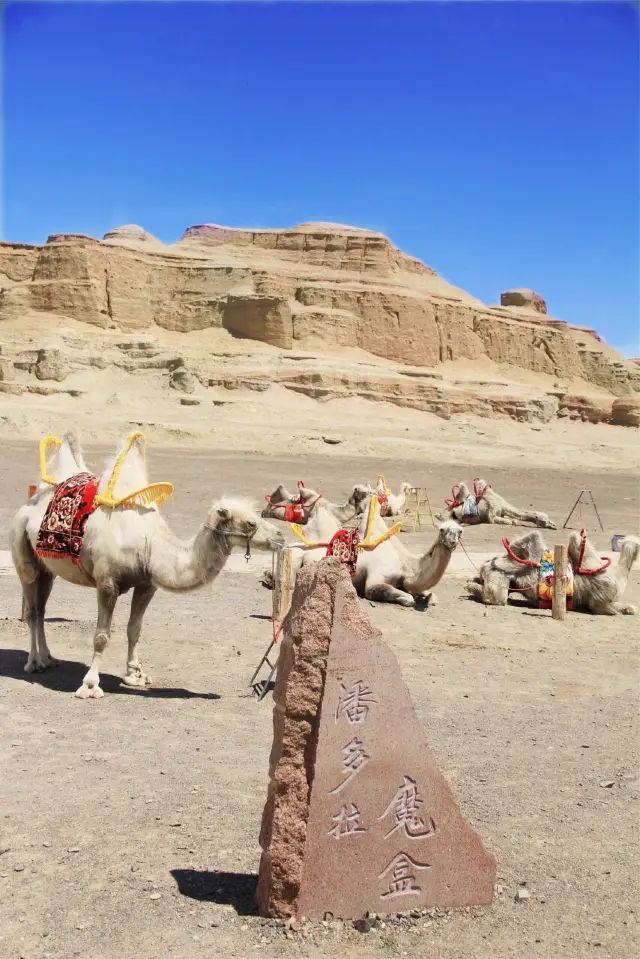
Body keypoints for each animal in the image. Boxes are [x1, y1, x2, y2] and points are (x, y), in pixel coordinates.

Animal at [10, 431, 284, 699]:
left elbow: (135, 629)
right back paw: (34, 663)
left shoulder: (146, 583)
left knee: (42, 608)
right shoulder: (107, 582)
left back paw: (48, 657)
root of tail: (31, 502)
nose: (280, 536)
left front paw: (135, 674)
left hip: (48, 569)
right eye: (250, 523)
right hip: (23, 553)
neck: (147, 545)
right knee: (32, 609)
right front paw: (89, 685)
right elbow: (101, 636)